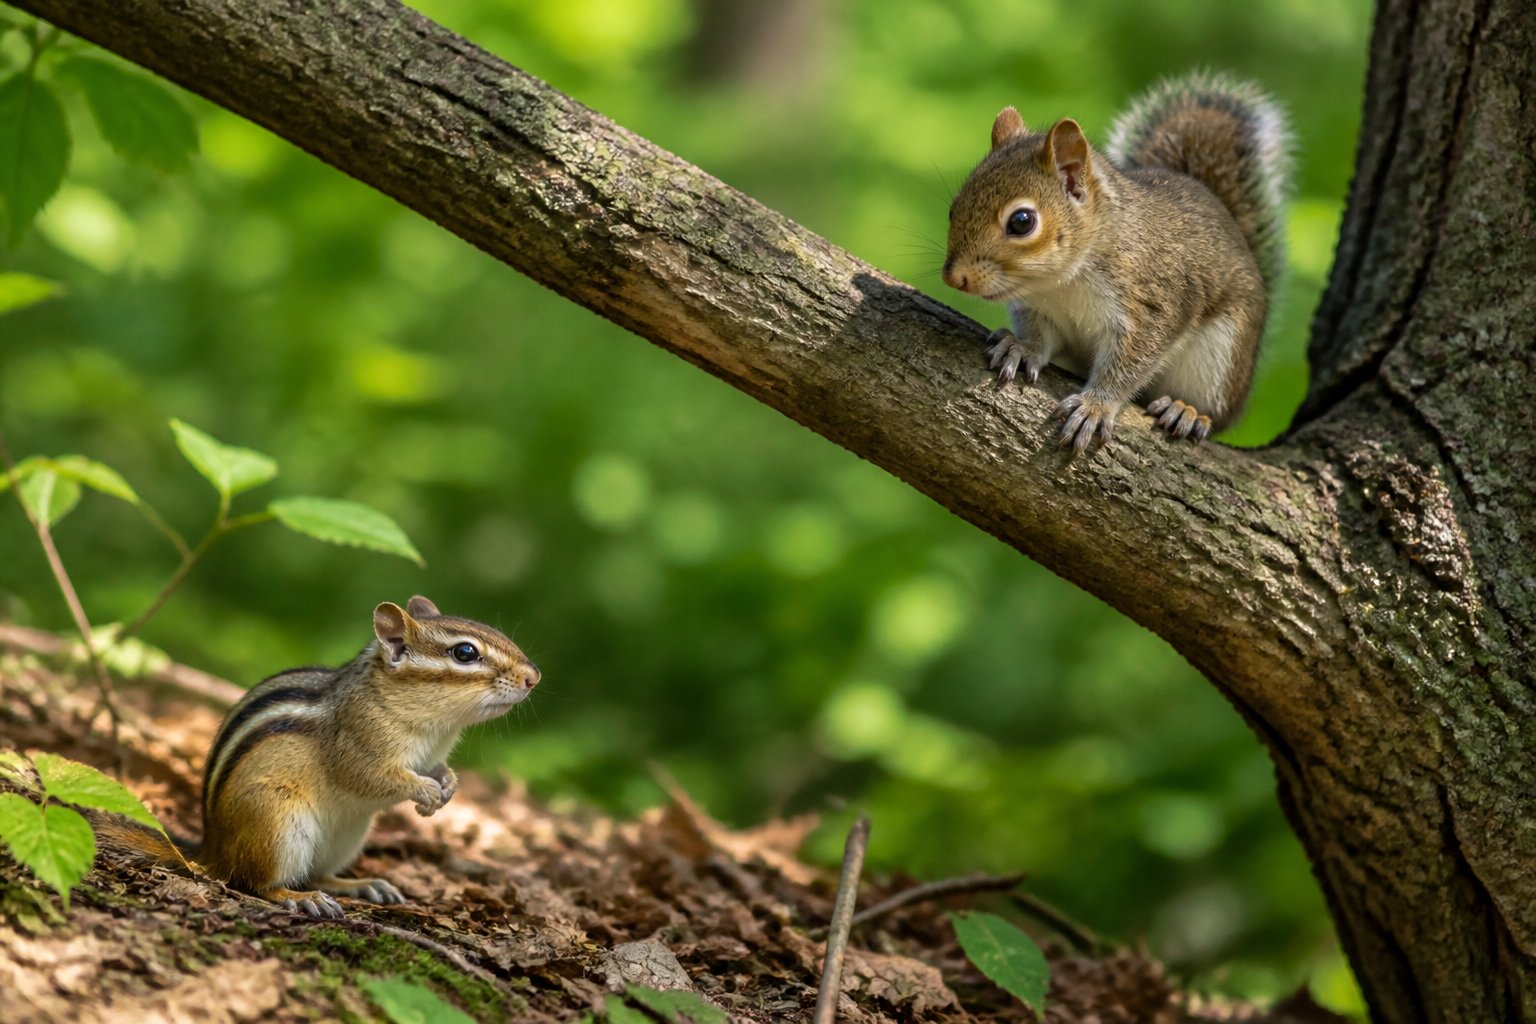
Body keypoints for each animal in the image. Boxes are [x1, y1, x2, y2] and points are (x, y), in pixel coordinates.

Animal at [89, 595, 540, 918]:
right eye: (465, 653)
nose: (533, 677)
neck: (435, 726)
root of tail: (212, 851)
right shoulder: (358, 744)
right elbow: (374, 777)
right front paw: (426, 792)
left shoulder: (430, 753)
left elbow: (437, 770)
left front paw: (447, 786)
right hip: (277, 824)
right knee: (256, 882)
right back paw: (297, 897)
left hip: (347, 836)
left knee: (317, 874)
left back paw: (358, 885)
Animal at [941, 72, 1291, 451]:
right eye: (953, 209)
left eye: (1022, 222)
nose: (954, 278)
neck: (1063, 282)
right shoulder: (1036, 306)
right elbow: (1039, 337)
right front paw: (1021, 348)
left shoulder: (1156, 303)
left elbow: (1130, 364)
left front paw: (1096, 406)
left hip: (1220, 360)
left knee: (1216, 411)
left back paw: (1187, 410)